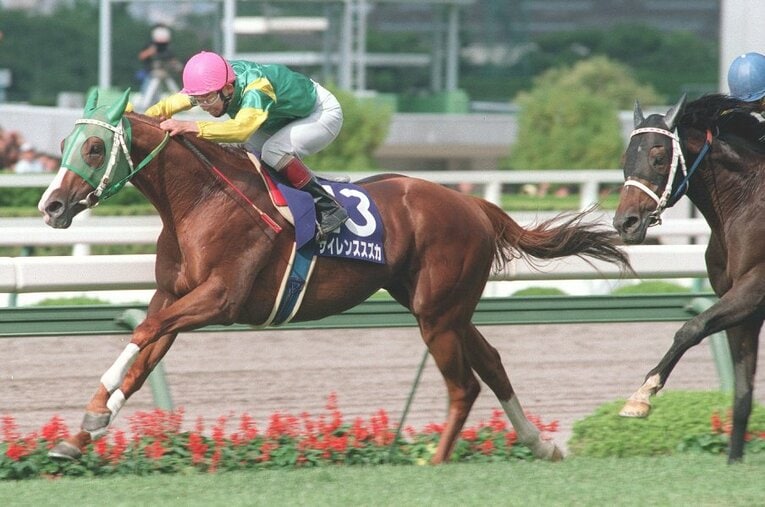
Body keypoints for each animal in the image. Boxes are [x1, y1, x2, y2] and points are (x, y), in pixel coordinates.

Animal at [38, 88, 630, 463]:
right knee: (492, 363)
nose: (51, 206)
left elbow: (140, 333)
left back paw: (435, 461)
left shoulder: (219, 299)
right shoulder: (174, 298)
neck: (200, 201)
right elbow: (144, 354)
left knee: (463, 383)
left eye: (95, 146)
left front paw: (95, 409)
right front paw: (81, 433)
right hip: (445, 307)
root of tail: (473, 204)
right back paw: (540, 444)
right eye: (64, 146)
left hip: (437, 314)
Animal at [613, 93, 765, 463]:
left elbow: (691, 328)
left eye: (658, 157)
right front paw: (734, 460)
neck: (745, 203)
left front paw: (641, 396)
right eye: (626, 157)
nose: (625, 223)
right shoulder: (742, 306)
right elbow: (743, 390)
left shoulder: (755, 289)